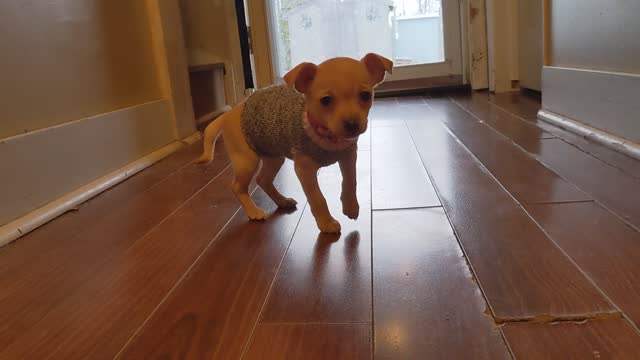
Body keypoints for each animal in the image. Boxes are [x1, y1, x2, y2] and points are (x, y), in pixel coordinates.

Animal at [198, 53, 392, 233]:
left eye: (365, 95)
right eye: (326, 100)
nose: (352, 124)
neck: (328, 136)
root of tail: (229, 114)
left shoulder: (348, 156)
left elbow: (350, 182)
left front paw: (351, 207)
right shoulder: (304, 169)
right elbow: (317, 198)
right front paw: (326, 223)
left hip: (273, 156)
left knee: (263, 179)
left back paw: (282, 201)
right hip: (247, 161)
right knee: (238, 187)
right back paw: (254, 211)